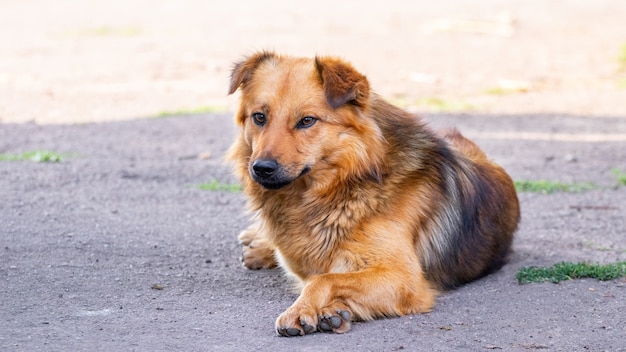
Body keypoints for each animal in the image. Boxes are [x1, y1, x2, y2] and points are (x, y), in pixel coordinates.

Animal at [227, 51, 520, 336]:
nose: (262, 168)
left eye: (307, 121)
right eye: (259, 117)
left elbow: (324, 279)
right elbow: (322, 276)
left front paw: (315, 311)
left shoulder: (403, 278)